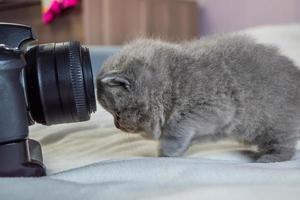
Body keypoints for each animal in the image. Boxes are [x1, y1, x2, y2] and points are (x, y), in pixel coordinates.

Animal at [96, 34, 300, 162]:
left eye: (117, 114)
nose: (117, 125)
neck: (171, 84)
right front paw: (176, 150)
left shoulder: (216, 106)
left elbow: (178, 124)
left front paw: (167, 150)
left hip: (275, 124)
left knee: (284, 146)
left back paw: (269, 159)